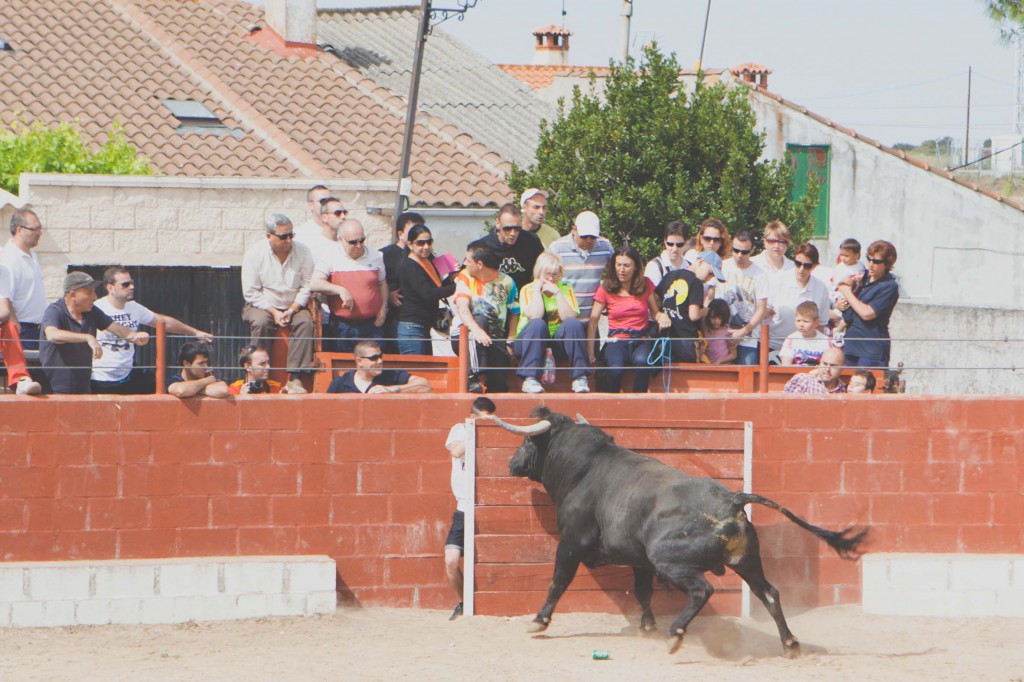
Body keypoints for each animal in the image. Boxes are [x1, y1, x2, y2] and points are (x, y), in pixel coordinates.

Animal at [491, 405, 868, 655]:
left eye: (527, 443)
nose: (511, 463)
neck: (583, 469)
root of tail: (733, 498)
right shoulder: (638, 559)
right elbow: (643, 591)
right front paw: (647, 627)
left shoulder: (571, 542)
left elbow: (558, 581)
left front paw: (539, 621)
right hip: (747, 561)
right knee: (770, 593)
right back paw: (789, 643)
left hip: (669, 559)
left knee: (702, 590)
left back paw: (677, 633)